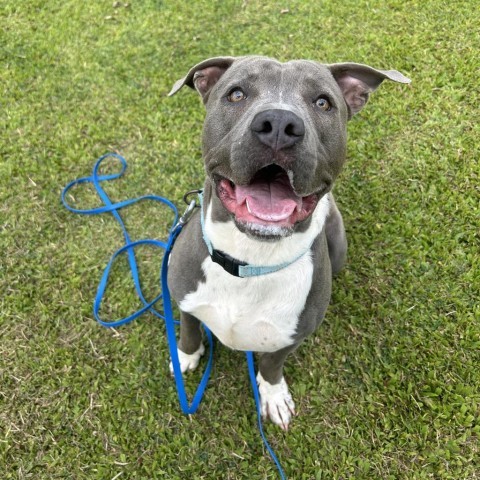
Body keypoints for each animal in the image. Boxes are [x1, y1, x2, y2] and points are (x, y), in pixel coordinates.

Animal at [166, 55, 408, 428]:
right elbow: (190, 331)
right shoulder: (185, 299)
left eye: (323, 102)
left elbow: (270, 365)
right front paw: (186, 357)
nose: (279, 123)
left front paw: (273, 395)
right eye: (236, 94)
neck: (250, 261)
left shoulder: (289, 338)